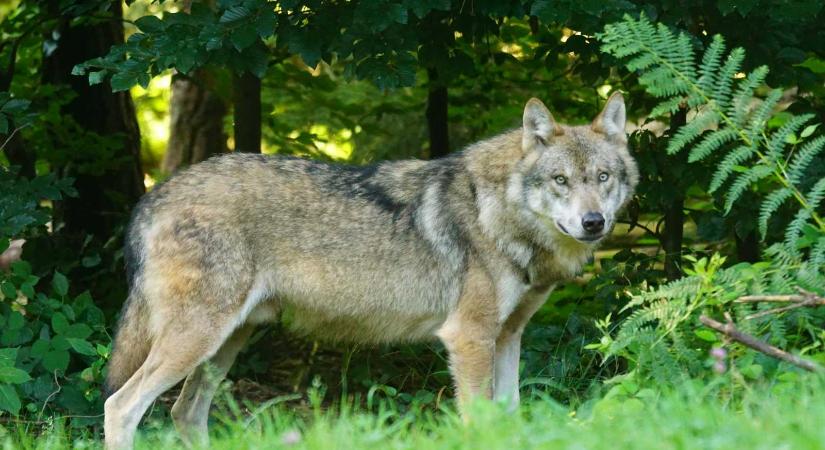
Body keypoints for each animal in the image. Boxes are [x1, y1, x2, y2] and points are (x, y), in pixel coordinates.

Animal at [103, 93, 636, 448]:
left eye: (602, 178)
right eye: (560, 180)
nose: (593, 222)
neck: (498, 212)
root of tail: (152, 196)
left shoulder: (507, 337)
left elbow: (509, 416)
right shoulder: (469, 337)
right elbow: (479, 421)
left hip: (224, 344)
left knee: (185, 414)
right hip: (197, 340)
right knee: (120, 406)